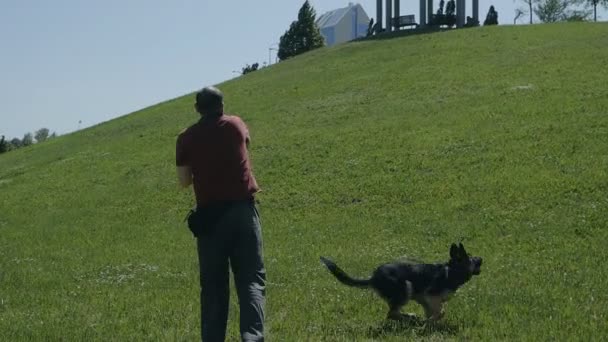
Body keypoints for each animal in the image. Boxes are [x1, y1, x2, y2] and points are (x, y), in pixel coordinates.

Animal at [320, 243, 482, 320]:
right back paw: (410, 317)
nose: (482, 258)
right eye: (471, 259)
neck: (451, 271)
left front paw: (429, 324)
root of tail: (373, 278)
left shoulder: (425, 299)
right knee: (391, 313)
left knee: (393, 313)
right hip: (405, 287)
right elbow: (441, 311)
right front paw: (428, 322)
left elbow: (432, 312)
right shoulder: (431, 296)